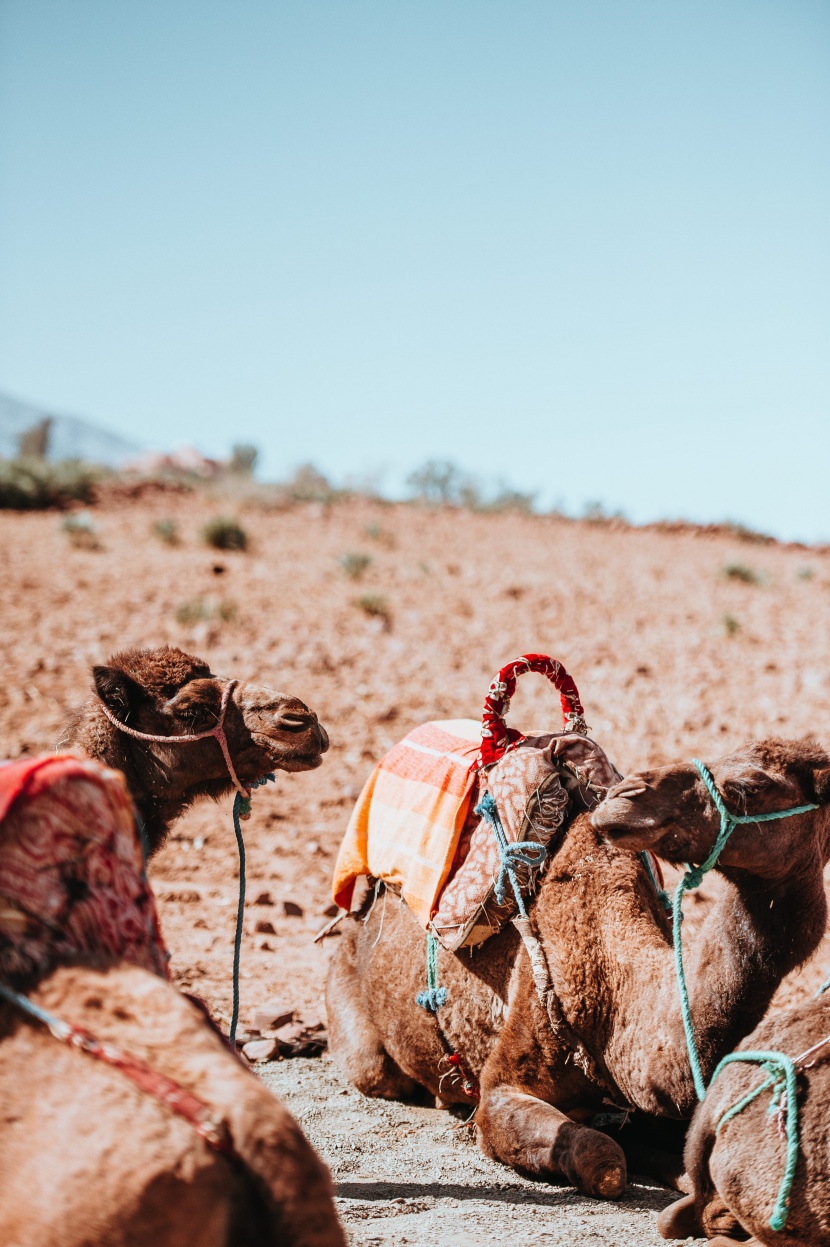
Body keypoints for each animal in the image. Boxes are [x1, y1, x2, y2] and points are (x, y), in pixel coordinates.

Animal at [324, 738, 827, 1197]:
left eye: (748, 787)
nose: (628, 795)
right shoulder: (503, 1085)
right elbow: (604, 1161)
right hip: (359, 1028)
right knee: (376, 1070)